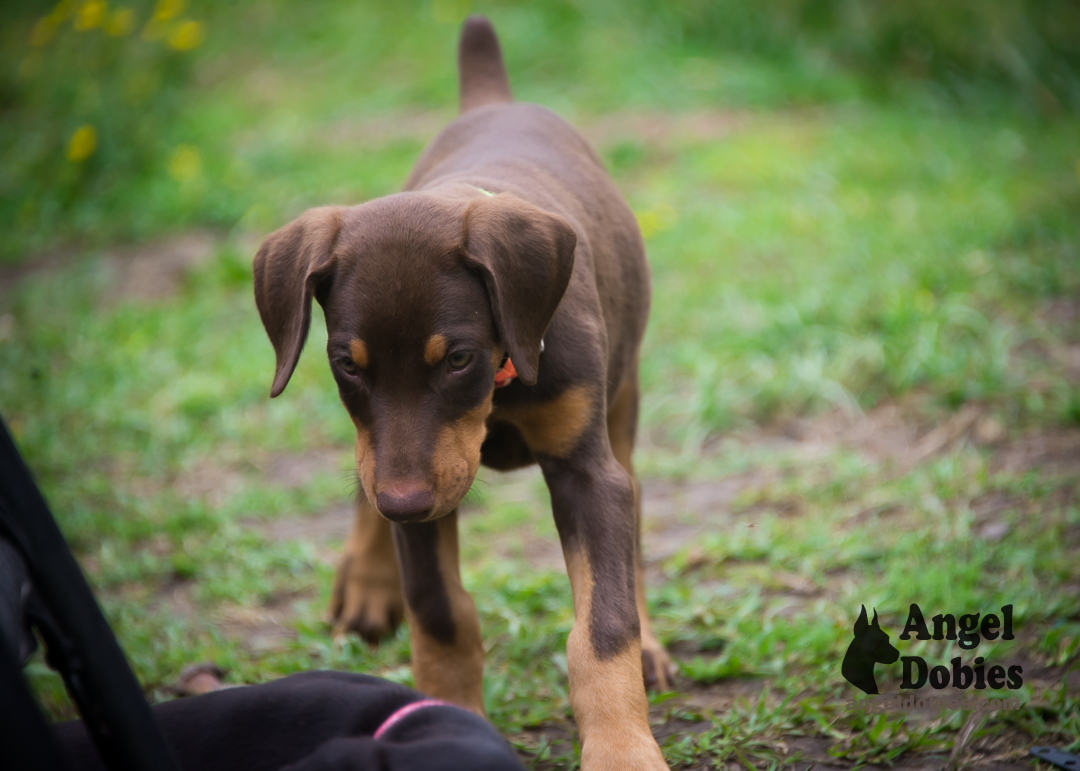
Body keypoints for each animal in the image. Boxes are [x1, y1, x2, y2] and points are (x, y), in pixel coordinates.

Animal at [255, 18, 669, 768]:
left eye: (457, 358)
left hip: (621, 397)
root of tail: (492, 99)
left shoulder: (584, 471)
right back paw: (367, 580)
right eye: (346, 364)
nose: (403, 501)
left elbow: (603, 624)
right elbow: (439, 610)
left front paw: (622, 749)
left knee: (634, 502)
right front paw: (452, 714)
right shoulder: (405, 473)